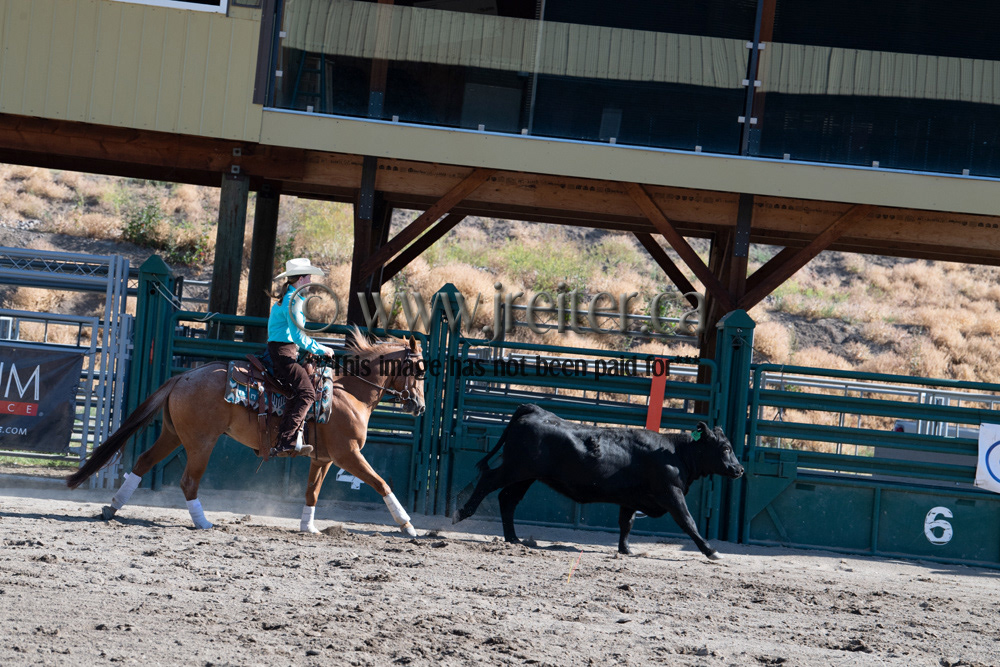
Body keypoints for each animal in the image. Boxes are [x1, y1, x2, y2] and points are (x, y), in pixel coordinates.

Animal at [67, 330, 426, 536]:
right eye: (420, 370)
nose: (420, 406)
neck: (350, 394)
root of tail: (182, 377)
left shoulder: (323, 459)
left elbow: (312, 493)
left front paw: (308, 527)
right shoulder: (348, 453)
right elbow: (381, 483)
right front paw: (408, 526)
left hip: (173, 435)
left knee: (142, 462)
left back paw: (112, 508)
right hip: (201, 442)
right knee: (188, 481)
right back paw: (203, 523)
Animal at [452, 404, 744, 560]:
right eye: (726, 447)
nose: (740, 469)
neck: (674, 453)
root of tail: (535, 410)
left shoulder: (631, 499)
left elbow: (626, 523)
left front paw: (626, 550)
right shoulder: (671, 493)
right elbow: (688, 522)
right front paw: (711, 550)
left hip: (526, 476)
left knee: (507, 499)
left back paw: (514, 539)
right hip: (516, 468)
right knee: (489, 481)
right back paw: (462, 513)